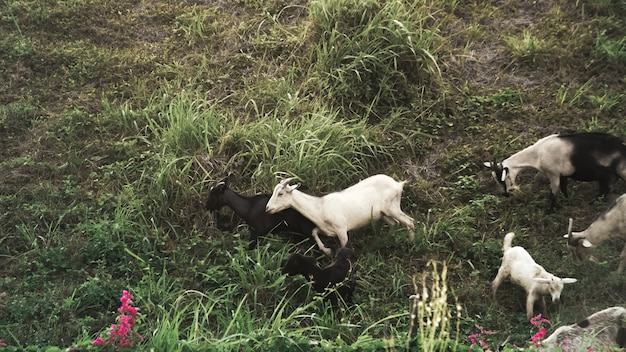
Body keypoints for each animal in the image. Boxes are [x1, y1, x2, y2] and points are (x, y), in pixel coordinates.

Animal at [264, 175, 414, 256]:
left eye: (280, 193)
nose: (267, 209)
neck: (320, 207)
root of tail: (398, 184)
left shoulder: (342, 229)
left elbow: (343, 246)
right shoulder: (326, 229)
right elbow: (314, 232)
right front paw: (327, 250)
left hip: (393, 208)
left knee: (410, 222)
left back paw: (410, 243)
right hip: (384, 214)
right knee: (394, 223)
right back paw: (386, 241)